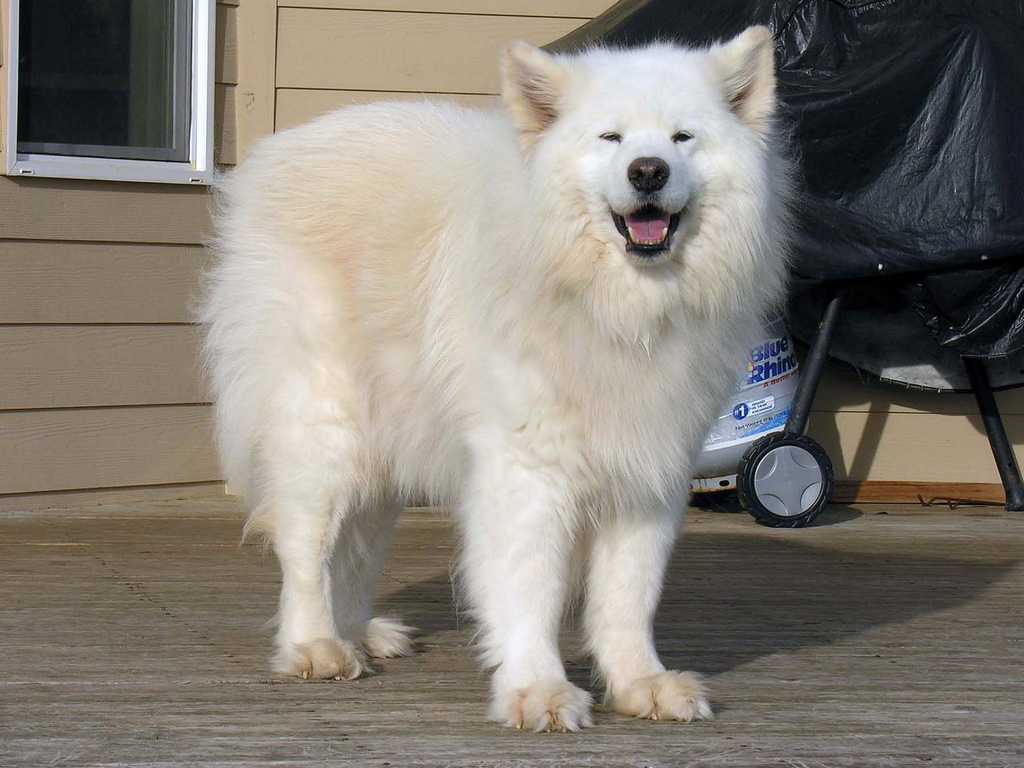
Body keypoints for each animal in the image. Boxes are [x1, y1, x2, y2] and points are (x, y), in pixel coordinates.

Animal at [201, 28, 790, 733]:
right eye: (611, 138)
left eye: (682, 137)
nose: (648, 171)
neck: (611, 308)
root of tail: (277, 154)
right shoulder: (527, 471)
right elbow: (530, 590)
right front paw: (538, 690)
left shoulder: (647, 472)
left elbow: (629, 595)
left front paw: (640, 683)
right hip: (325, 435)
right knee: (306, 551)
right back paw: (317, 646)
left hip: (385, 451)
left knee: (355, 550)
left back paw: (360, 634)